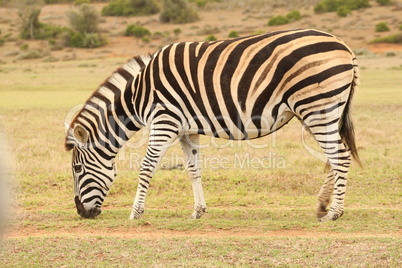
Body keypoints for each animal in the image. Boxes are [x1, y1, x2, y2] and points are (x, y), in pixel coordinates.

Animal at [66, 28, 362, 222]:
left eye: (77, 169)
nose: (82, 213)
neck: (140, 94)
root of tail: (344, 46)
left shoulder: (164, 121)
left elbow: (147, 166)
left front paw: (135, 213)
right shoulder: (186, 130)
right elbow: (193, 169)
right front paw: (198, 211)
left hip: (316, 106)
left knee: (341, 157)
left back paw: (334, 213)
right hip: (317, 111)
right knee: (333, 157)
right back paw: (323, 206)